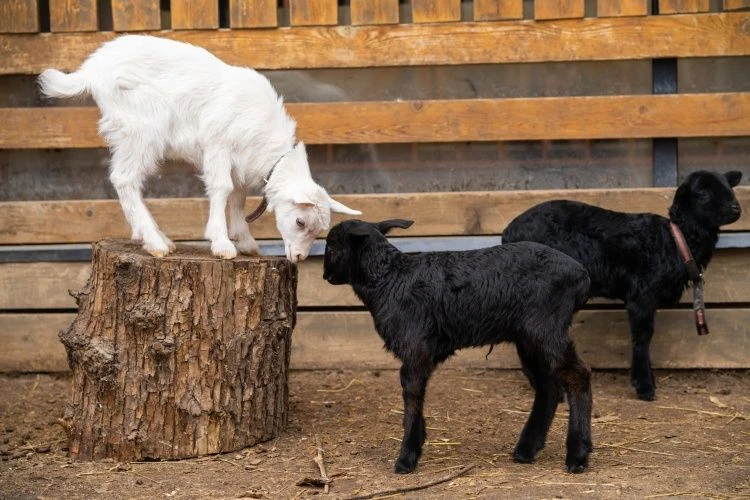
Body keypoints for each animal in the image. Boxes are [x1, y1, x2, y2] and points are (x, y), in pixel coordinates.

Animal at [326, 219, 596, 472]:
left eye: (331, 246)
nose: (325, 275)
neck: (390, 280)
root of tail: (581, 274)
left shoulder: (416, 348)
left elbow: (412, 396)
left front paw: (406, 458)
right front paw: (417, 443)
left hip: (545, 327)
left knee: (577, 374)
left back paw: (577, 456)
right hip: (528, 337)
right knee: (548, 386)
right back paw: (526, 450)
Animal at [502, 170, 744, 400]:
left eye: (729, 187)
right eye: (702, 193)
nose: (736, 208)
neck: (677, 240)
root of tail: (507, 233)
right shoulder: (641, 295)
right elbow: (642, 337)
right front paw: (645, 387)